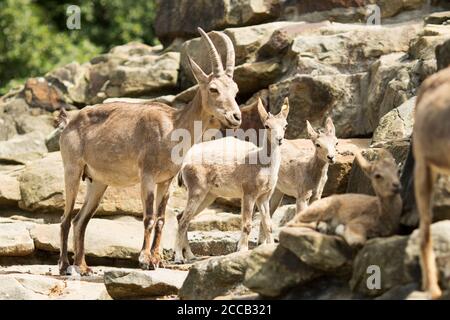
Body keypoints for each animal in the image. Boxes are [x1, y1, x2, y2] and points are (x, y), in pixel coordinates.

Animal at [59, 28, 243, 276]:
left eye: (235, 89)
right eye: (213, 89)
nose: (236, 116)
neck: (173, 127)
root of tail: (68, 122)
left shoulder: (166, 180)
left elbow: (162, 218)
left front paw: (158, 259)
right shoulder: (146, 175)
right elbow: (148, 217)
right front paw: (145, 260)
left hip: (97, 182)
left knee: (80, 220)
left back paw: (83, 266)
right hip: (72, 170)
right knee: (66, 218)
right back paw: (64, 265)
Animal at [176, 99, 288, 264]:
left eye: (285, 125)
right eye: (267, 125)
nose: (279, 140)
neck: (261, 163)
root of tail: (184, 164)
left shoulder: (263, 197)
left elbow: (268, 224)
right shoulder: (248, 194)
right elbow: (247, 224)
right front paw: (242, 251)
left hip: (208, 196)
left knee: (182, 217)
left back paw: (191, 256)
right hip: (197, 192)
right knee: (183, 220)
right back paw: (178, 258)